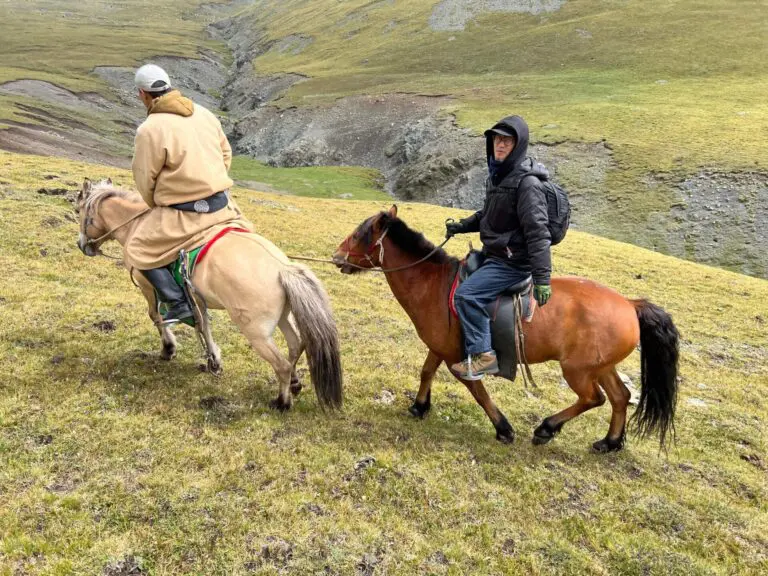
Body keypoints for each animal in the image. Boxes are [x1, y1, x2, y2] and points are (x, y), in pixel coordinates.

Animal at [75, 179, 342, 411]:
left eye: (79, 211)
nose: (82, 245)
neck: (135, 227)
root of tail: (284, 269)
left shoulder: (147, 286)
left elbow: (156, 316)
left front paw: (168, 349)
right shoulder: (195, 298)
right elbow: (202, 324)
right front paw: (213, 360)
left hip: (257, 332)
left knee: (282, 365)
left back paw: (282, 402)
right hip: (283, 317)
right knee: (296, 345)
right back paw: (295, 384)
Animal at [332, 206, 679, 452]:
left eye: (359, 235)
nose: (336, 257)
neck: (435, 285)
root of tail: (629, 304)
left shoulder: (461, 358)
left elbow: (477, 390)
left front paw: (503, 428)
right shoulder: (440, 347)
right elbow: (426, 371)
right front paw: (419, 406)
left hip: (578, 371)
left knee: (594, 398)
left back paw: (547, 428)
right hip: (601, 366)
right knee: (620, 397)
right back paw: (609, 442)